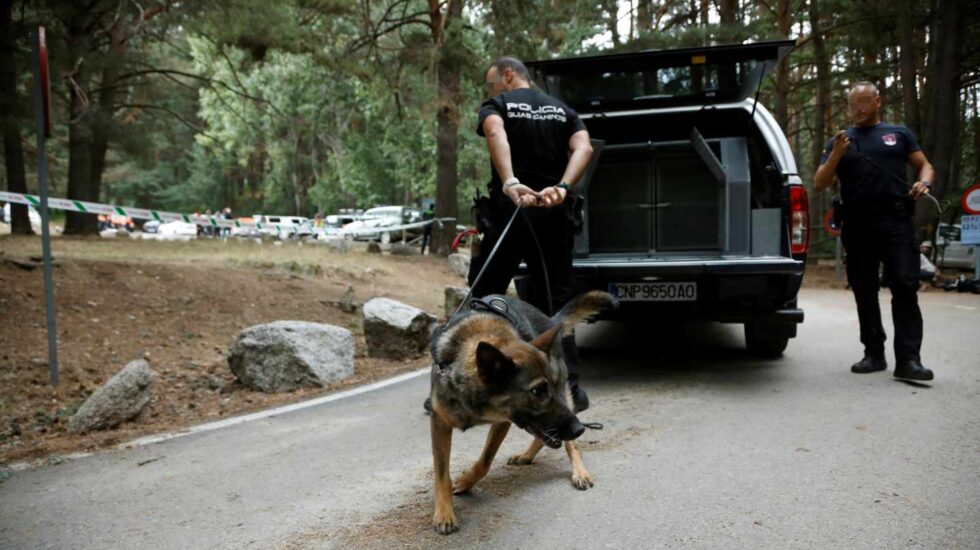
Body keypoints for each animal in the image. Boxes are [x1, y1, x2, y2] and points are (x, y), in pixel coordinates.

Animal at [426, 292, 616, 536]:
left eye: (549, 387)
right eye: (537, 391)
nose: (580, 429)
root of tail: (550, 321)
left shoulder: (503, 421)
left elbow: (485, 461)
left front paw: (466, 481)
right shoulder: (440, 422)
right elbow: (441, 473)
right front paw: (444, 513)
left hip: (565, 402)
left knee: (568, 443)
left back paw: (579, 472)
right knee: (546, 436)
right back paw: (527, 455)